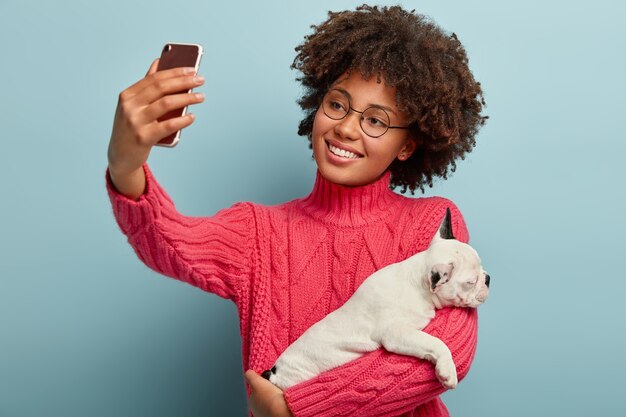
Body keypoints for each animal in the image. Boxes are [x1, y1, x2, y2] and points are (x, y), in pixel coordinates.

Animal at [260, 208, 490, 390]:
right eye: (471, 282)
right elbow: (436, 342)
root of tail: (273, 373)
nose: (488, 278)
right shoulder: (397, 334)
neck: (417, 284)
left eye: (481, 268)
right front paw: (447, 370)